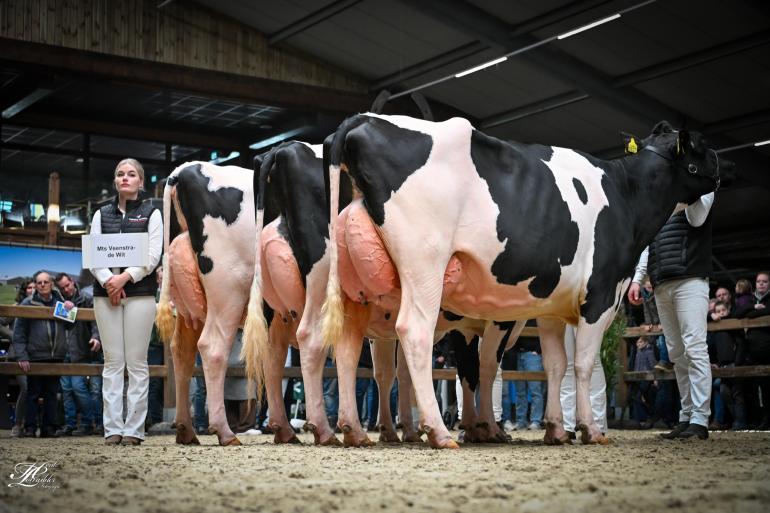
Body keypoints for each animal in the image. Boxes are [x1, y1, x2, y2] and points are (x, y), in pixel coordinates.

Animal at [322, 114, 732, 446]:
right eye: (700, 146)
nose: (725, 167)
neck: (625, 195)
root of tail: (363, 119)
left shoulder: (551, 307)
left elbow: (555, 365)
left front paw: (556, 430)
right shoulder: (601, 293)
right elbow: (582, 363)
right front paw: (590, 430)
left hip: (355, 286)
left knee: (347, 347)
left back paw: (355, 431)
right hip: (424, 262)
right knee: (413, 332)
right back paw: (437, 431)